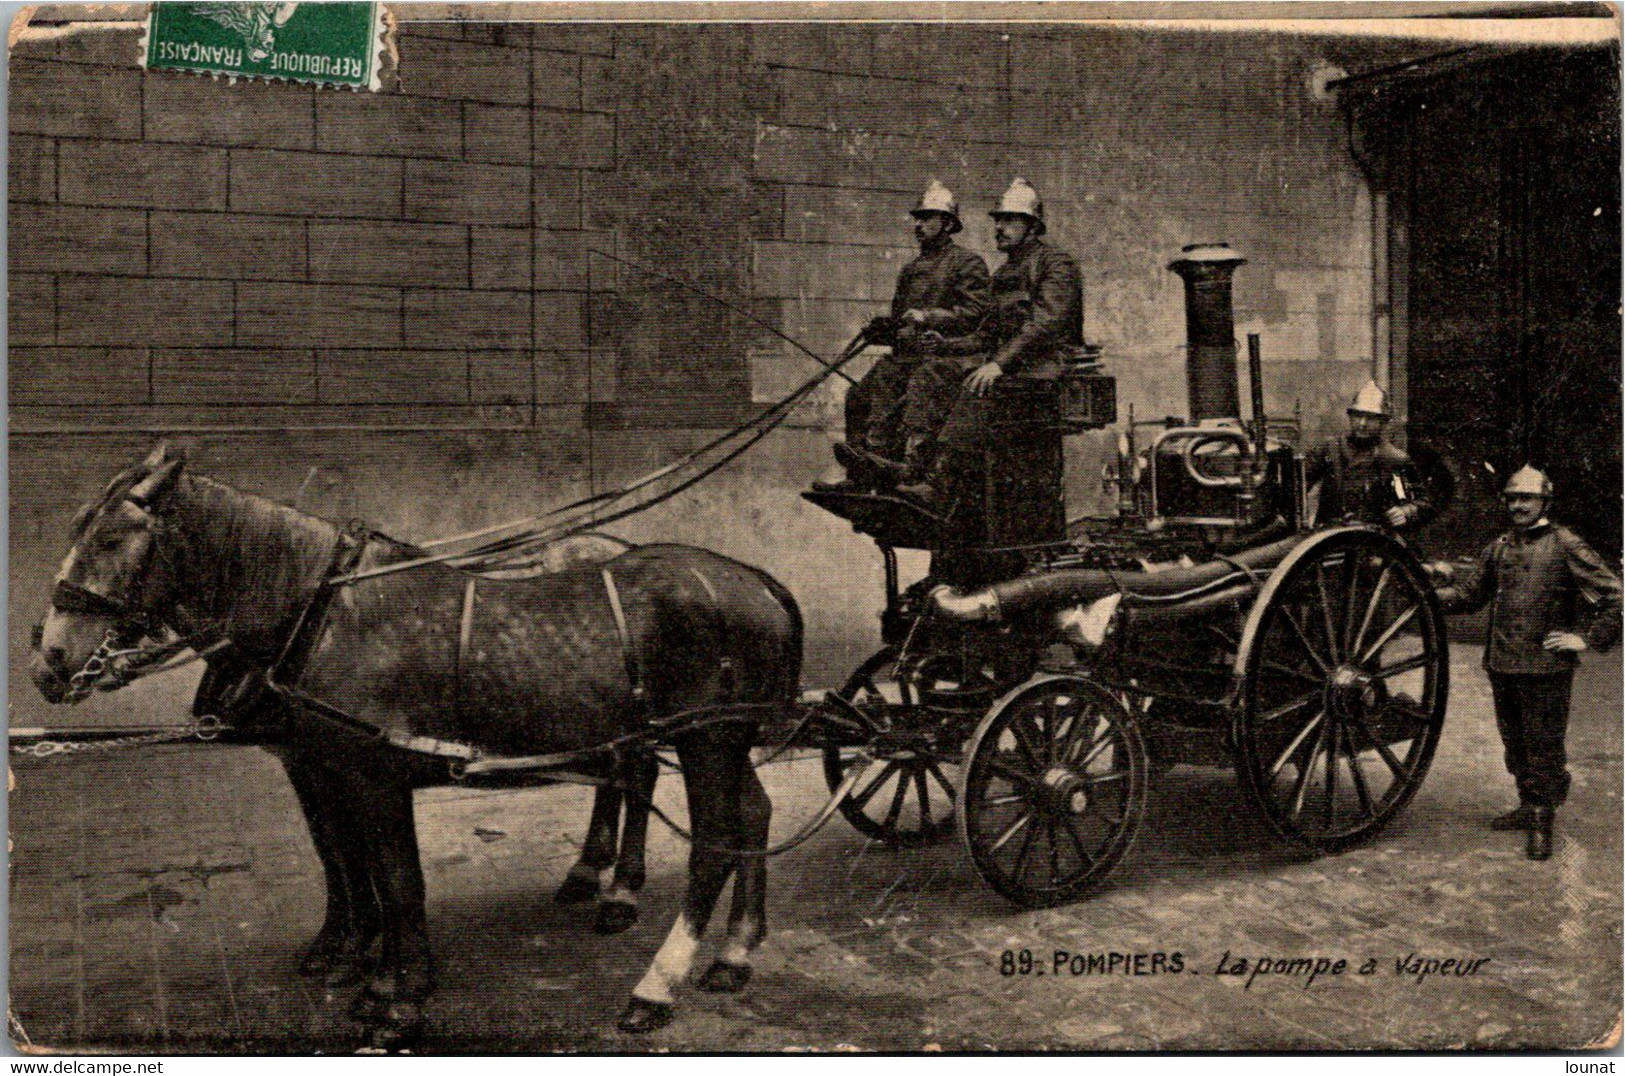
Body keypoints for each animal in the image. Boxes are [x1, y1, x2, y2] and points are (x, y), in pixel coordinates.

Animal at [31, 442, 806, 1046]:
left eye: (110, 540)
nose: (50, 659)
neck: (316, 611)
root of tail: (760, 583)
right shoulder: (321, 765)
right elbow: (348, 863)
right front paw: (360, 963)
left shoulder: (371, 774)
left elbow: (396, 878)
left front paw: (398, 996)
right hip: (716, 738)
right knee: (747, 813)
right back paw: (732, 950)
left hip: (706, 738)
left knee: (710, 840)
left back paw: (654, 981)